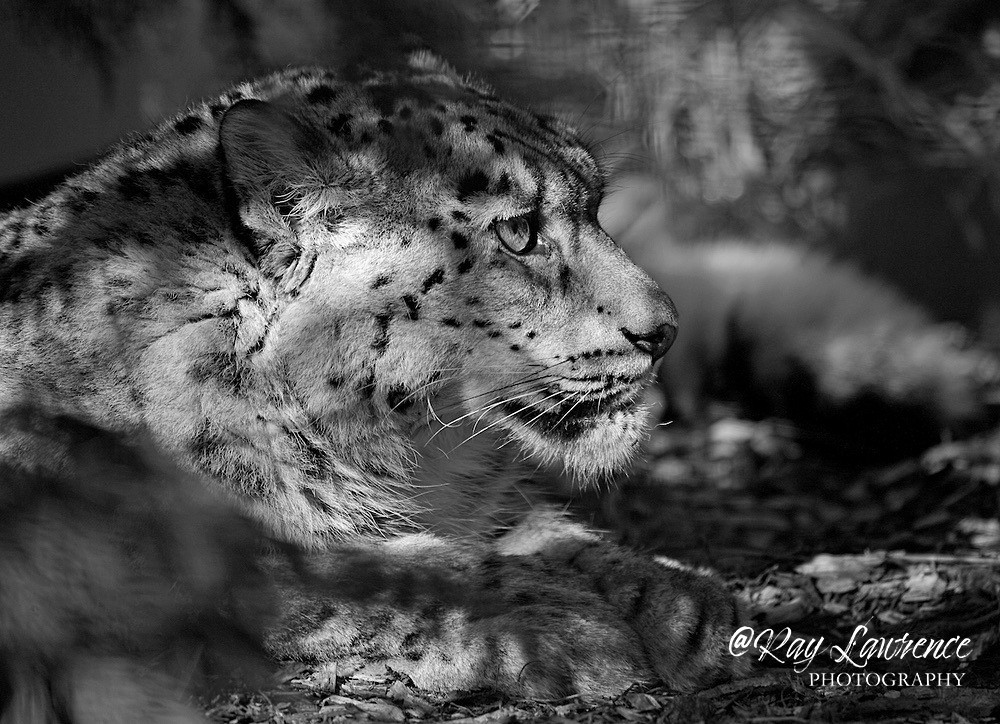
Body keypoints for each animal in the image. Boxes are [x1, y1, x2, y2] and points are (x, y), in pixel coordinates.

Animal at [0, 52, 749, 710]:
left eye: (595, 204)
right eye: (518, 232)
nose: (664, 331)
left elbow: (526, 527)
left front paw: (676, 602)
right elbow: (344, 573)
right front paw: (561, 628)